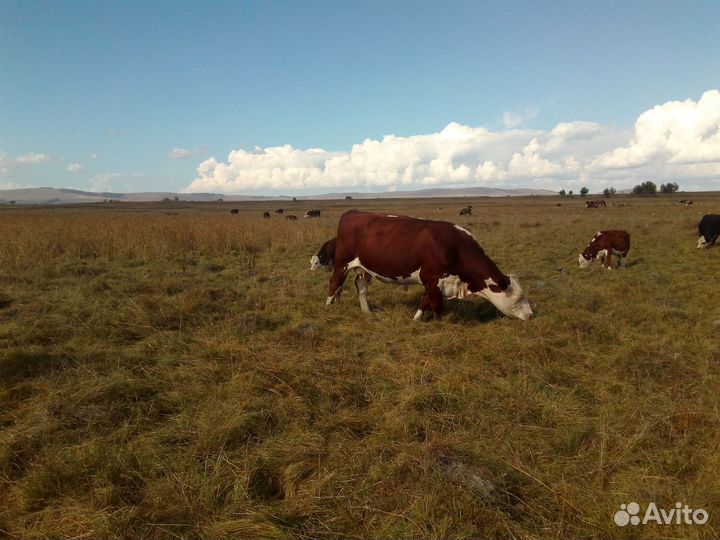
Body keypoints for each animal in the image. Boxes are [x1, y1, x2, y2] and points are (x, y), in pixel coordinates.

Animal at [325, 211, 533, 321]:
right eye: (517, 299)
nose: (531, 315)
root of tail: (352, 213)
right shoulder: (431, 278)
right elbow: (435, 304)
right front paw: (439, 324)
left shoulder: (434, 282)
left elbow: (425, 301)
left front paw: (415, 320)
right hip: (342, 263)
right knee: (334, 282)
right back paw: (328, 306)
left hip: (363, 268)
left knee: (360, 286)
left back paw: (366, 311)